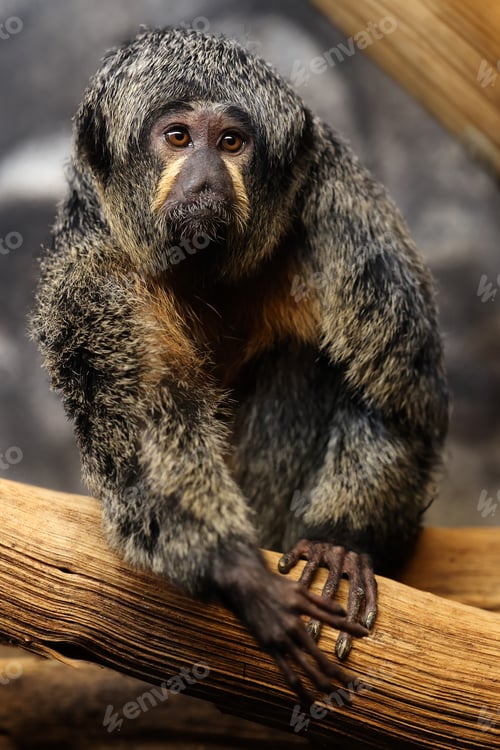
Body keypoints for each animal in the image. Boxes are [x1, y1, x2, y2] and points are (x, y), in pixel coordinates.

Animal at [30, 27, 448, 706]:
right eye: (178, 137)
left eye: (231, 143)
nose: (204, 179)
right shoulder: (90, 267)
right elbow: (141, 435)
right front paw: (235, 570)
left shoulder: (344, 209)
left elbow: (394, 399)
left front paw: (338, 542)